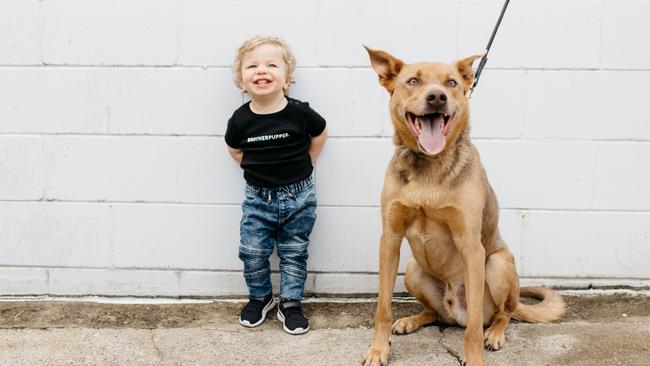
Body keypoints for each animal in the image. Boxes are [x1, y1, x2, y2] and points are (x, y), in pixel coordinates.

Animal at [362, 46, 564, 366]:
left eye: (452, 83)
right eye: (413, 81)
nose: (437, 97)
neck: (429, 166)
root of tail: (454, 311)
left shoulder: (471, 245)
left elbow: (473, 330)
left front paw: (475, 357)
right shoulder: (390, 239)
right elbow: (383, 306)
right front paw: (379, 350)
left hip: (497, 264)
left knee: (502, 314)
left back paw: (495, 333)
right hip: (413, 268)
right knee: (435, 313)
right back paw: (413, 320)